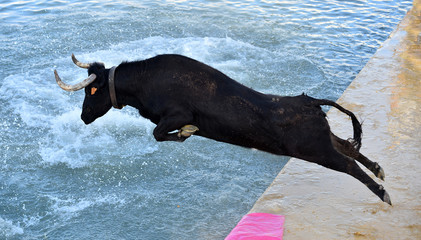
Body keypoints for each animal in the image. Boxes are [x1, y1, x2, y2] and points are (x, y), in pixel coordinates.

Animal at [55, 54, 390, 204]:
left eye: (91, 92)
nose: (83, 117)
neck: (146, 81)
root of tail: (309, 102)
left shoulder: (175, 114)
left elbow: (161, 133)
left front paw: (189, 131)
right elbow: (159, 135)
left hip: (315, 150)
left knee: (347, 162)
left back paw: (383, 193)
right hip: (321, 140)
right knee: (347, 145)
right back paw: (379, 169)